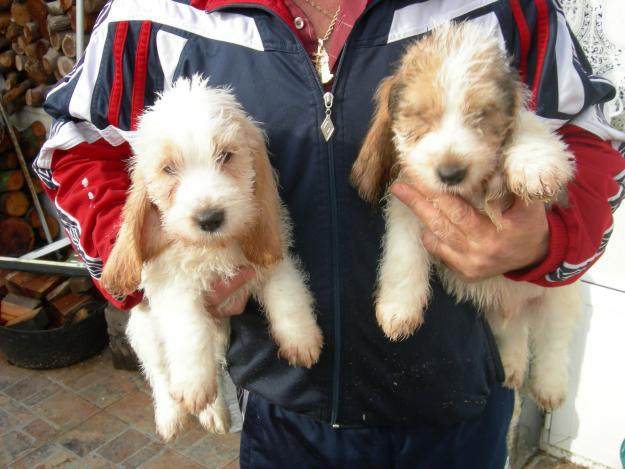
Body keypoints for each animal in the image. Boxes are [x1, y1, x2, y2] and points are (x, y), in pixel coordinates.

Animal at [100, 76, 324, 438]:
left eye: (226, 156)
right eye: (168, 169)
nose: (209, 218)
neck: (214, 248)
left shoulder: (270, 254)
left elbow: (287, 293)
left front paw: (301, 339)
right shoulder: (173, 288)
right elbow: (190, 331)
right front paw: (193, 388)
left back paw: (214, 414)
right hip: (145, 331)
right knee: (160, 373)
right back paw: (173, 416)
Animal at [352, 22, 580, 410]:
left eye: (483, 115)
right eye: (421, 118)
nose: (450, 173)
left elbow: (530, 126)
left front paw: (533, 164)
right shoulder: (407, 205)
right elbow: (403, 257)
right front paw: (399, 308)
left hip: (559, 297)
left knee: (554, 342)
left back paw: (549, 386)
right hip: (504, 316)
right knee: (515, 331)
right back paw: (512, 366)